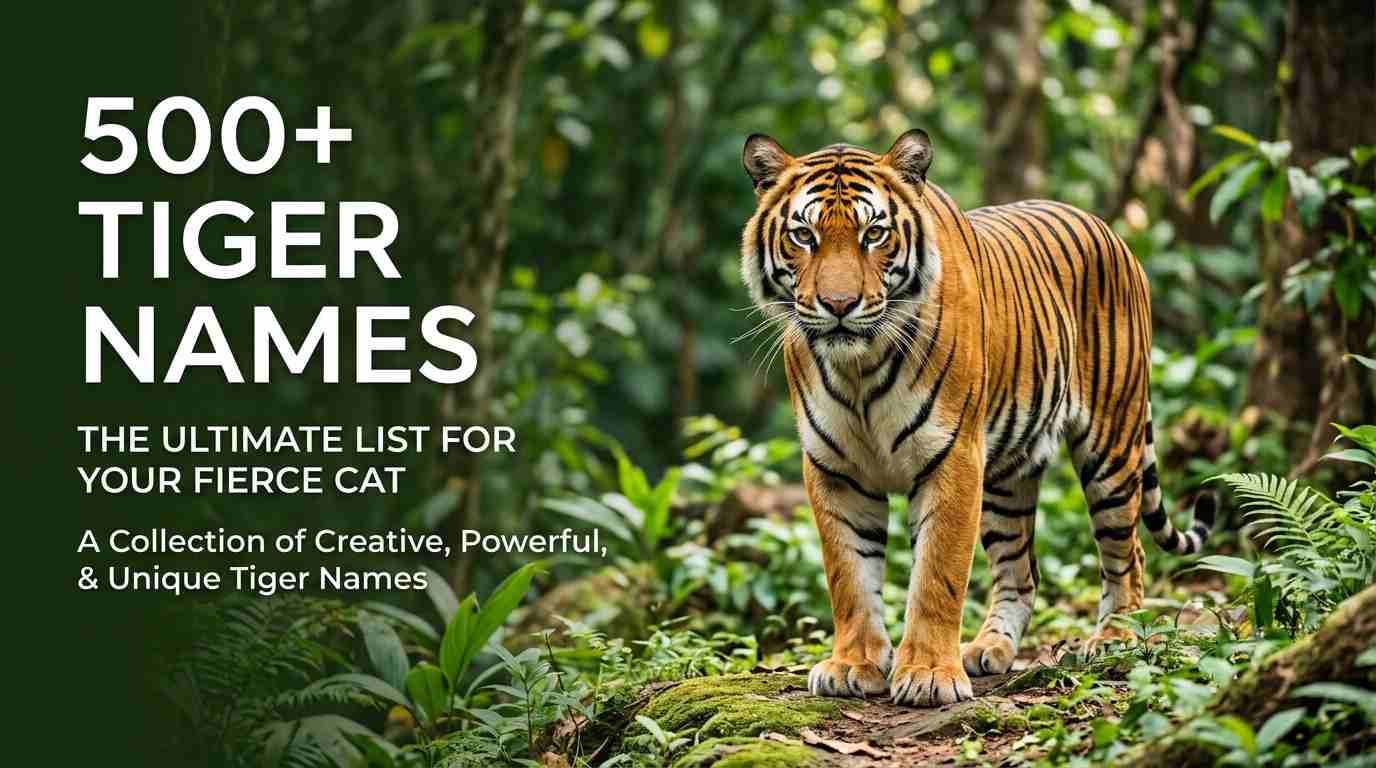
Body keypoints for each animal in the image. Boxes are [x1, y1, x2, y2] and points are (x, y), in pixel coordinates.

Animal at [737, 130, 1215, 707]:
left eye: (874, 234)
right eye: (803, 236)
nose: (839, 304)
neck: (859, 367)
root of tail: (1110, 230)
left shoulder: (953, 457)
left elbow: (937, 576)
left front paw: (927, 675)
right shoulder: (834, 469)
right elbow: (848, 575)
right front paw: (854, 665)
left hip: (1111, 443)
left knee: (1129, 552)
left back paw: (1115, 639)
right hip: (1008, 477)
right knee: (1021, 571)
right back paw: (990, 648)